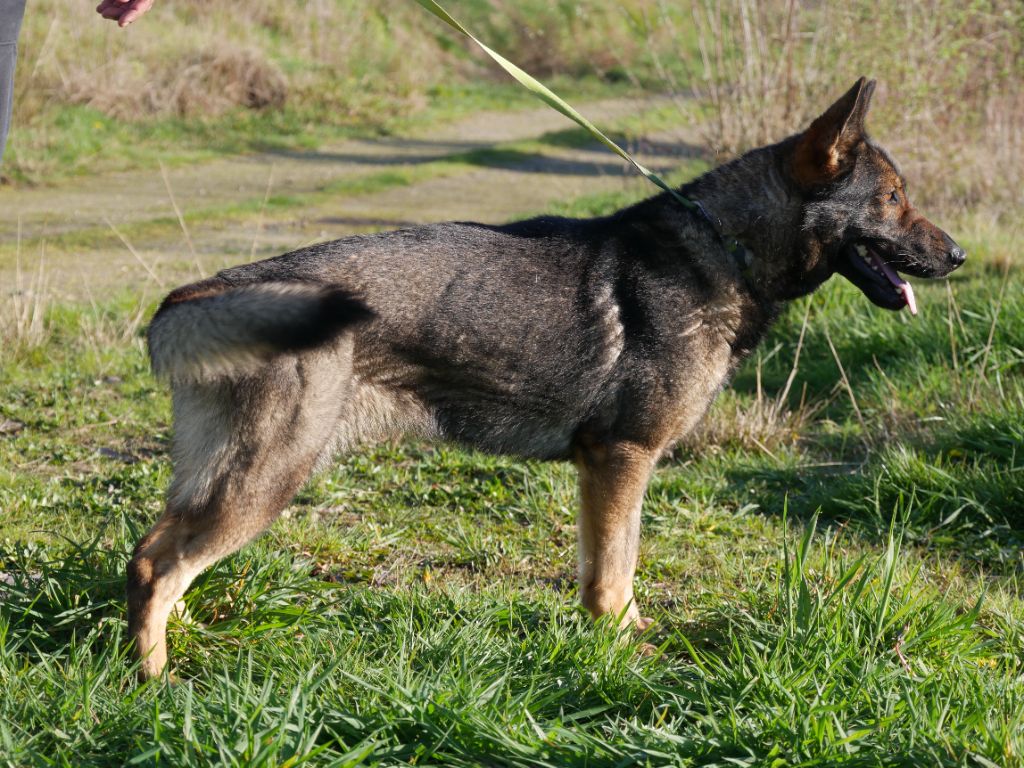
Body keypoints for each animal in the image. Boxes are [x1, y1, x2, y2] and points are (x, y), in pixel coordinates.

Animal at [125, 78, 958, 679]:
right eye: (893, 201)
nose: (959, 257)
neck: (726, 247)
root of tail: (201, 292)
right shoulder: (621, 458)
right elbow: (614, 572)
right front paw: (622, 651)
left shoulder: (609, 468)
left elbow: (609, 566)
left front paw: (618, 636)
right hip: (271, 475)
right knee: (160, 563)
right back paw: (155, 680)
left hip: (228, 475)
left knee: (157, 554)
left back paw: (174, 639)